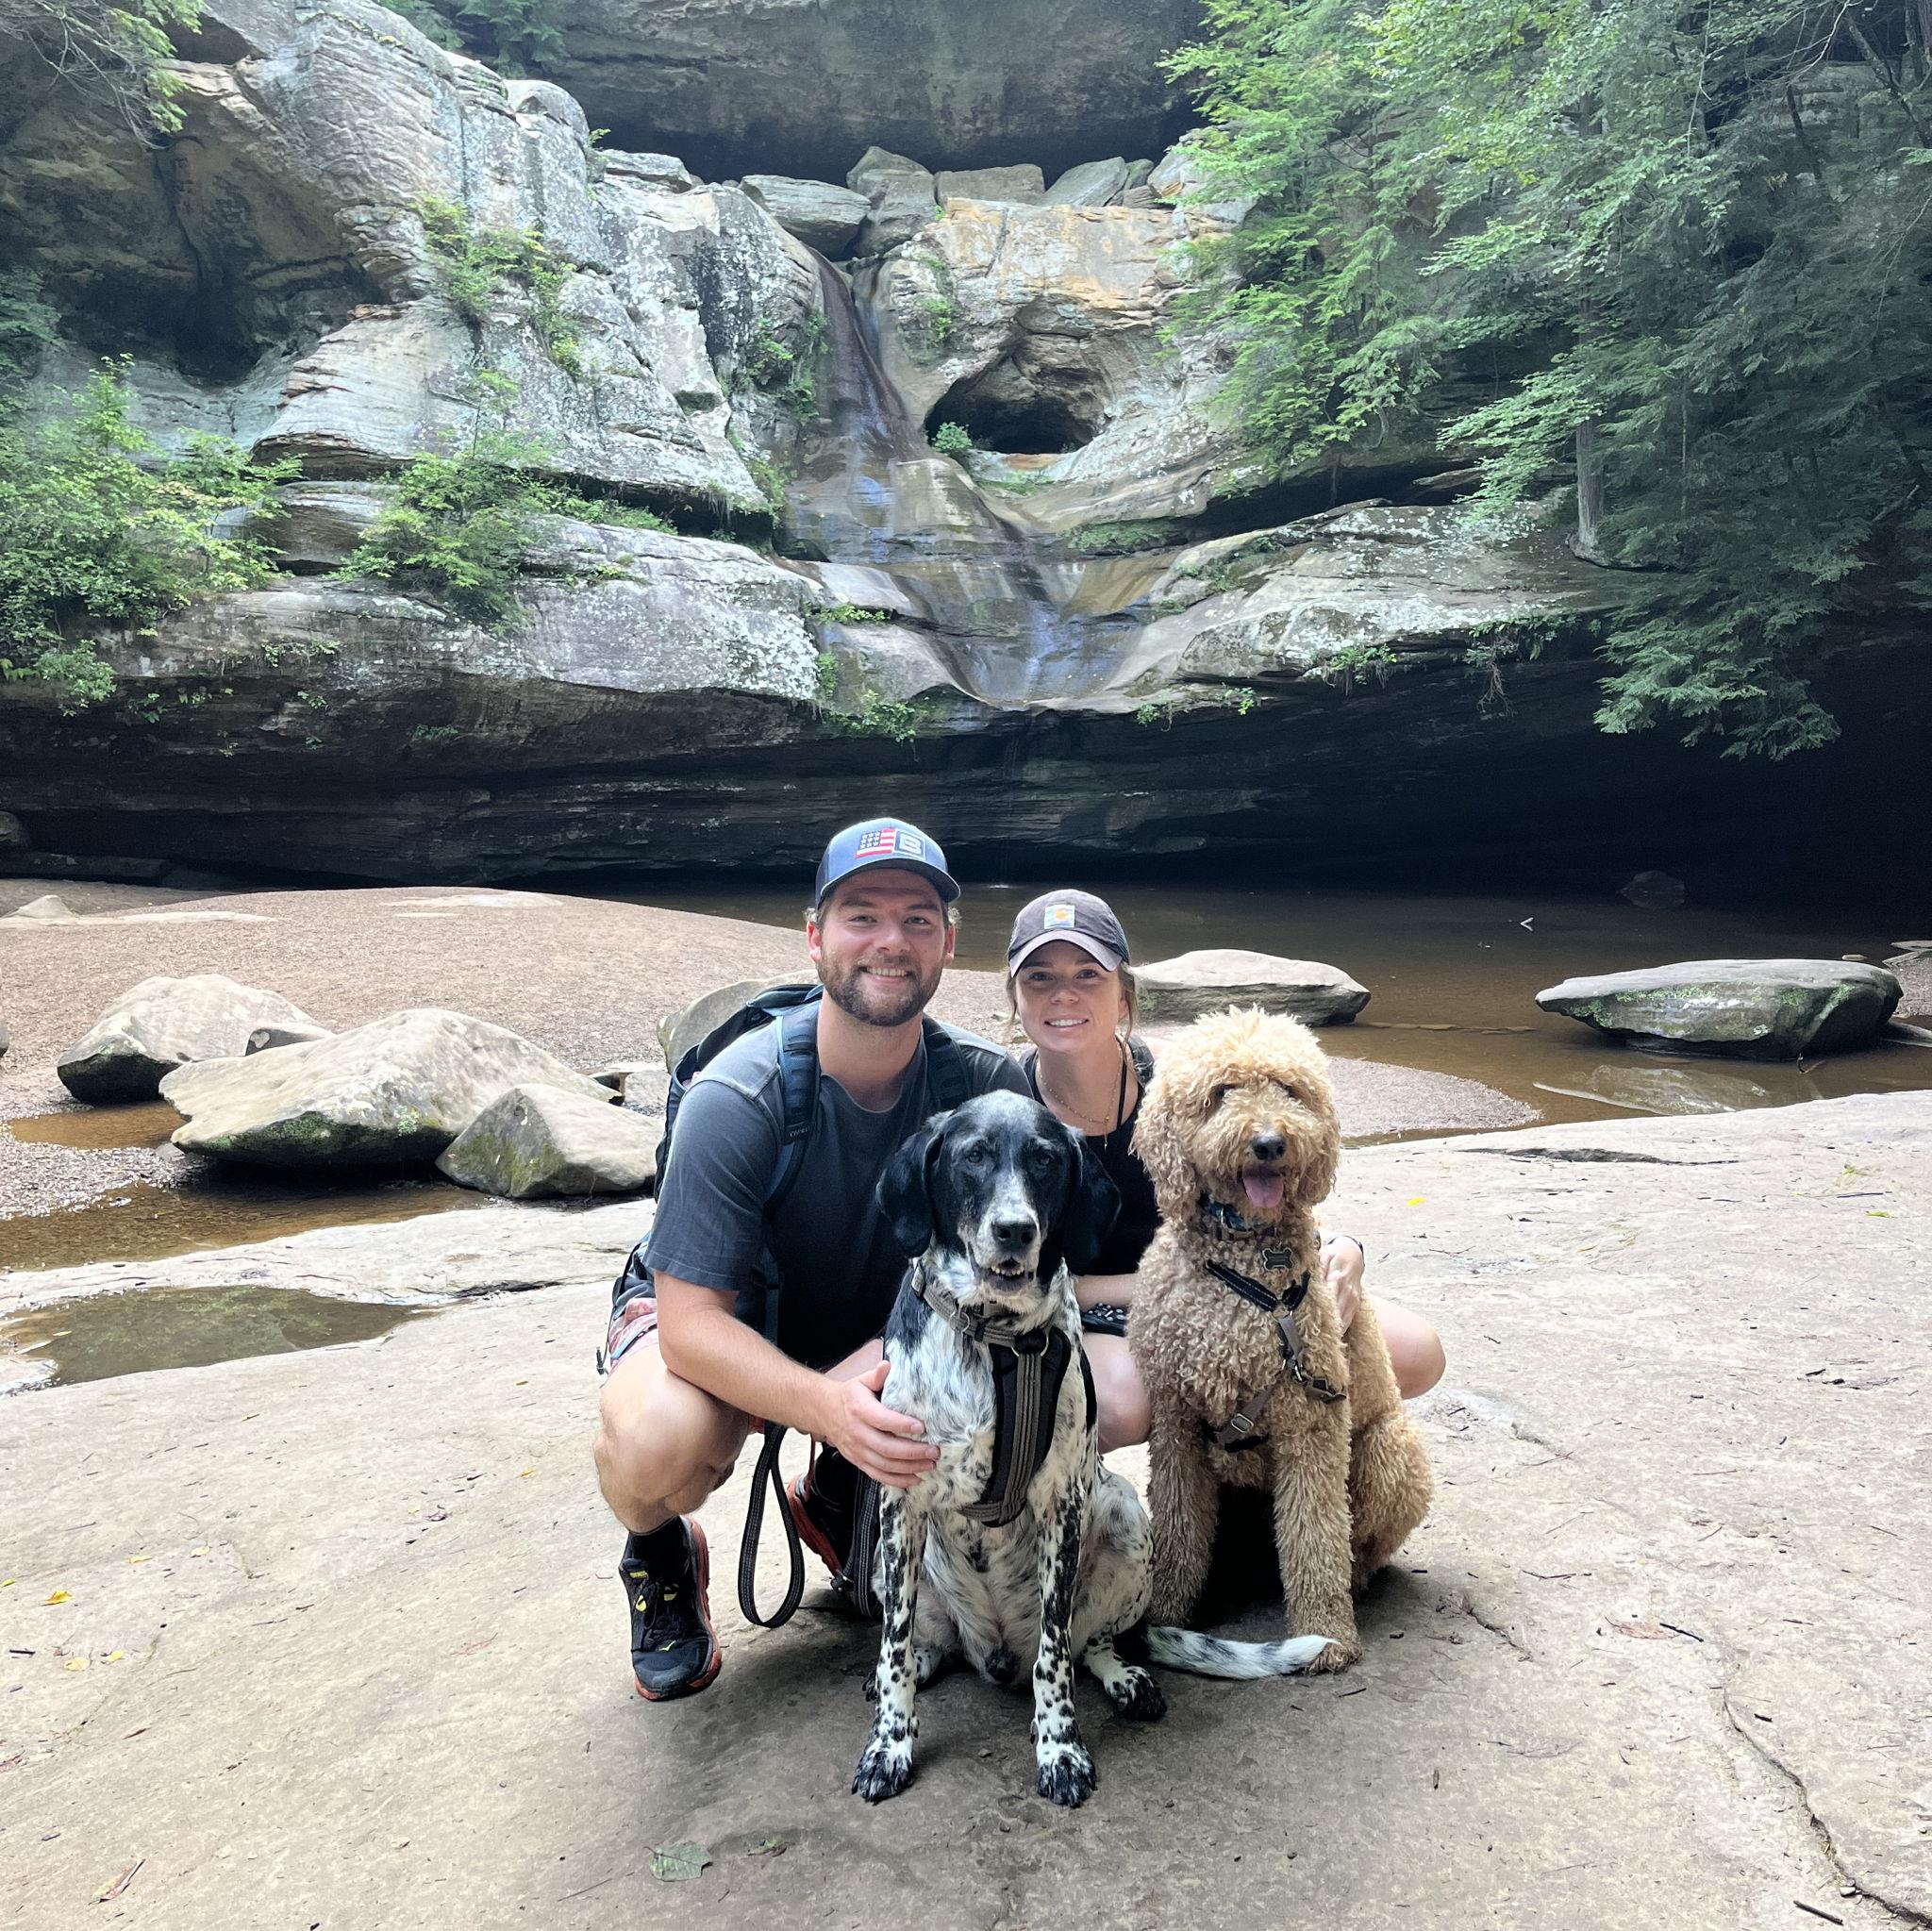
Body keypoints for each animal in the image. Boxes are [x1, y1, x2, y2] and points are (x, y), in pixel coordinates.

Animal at [854, 1089, 1332, 1809]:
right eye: (973, 1156)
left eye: (1046, 1160)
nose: (1015, 1230)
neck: (995, 1339)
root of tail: (995, 1653)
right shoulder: (900, 1501)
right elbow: (893, 1649)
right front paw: (891, 1743)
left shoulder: (1063, 1503)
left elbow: (1055, 1656)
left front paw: (1060, 1748)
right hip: (890, 1569)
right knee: (920, 1642)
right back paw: (923, 1665)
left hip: (1126, 1520)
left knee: (1091, 1645)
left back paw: (1124, 1678)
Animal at [1129, 1009, 1433, 1671]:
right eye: (1221, 1093)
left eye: (1291, 1090)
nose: (1270, 1143)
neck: (1242, 1269)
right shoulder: (1176, 1422)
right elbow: (1179, 1532)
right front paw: (1163, 1615)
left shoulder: (1311, 1425)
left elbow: (1315, 1539)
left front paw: (1326, 1636)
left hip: (1392, 1452)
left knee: (1359, 1545)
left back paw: (1357, 1583)